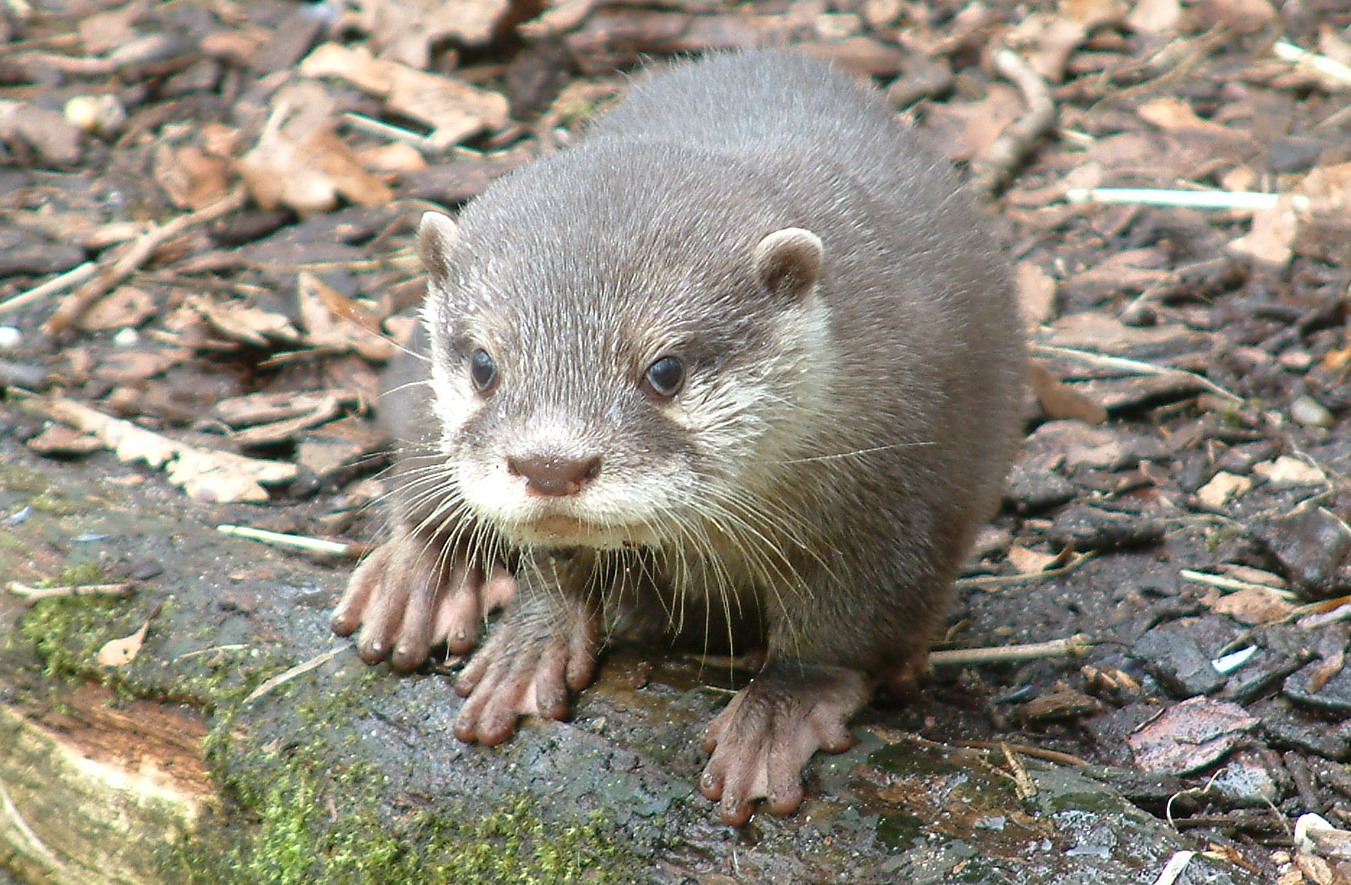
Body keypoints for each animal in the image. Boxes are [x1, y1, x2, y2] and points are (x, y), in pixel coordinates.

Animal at [329, 52, 1021, 832]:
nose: (550, 464)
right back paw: (419, 574)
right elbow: (552, 565)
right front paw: (533, 639)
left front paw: (777, 716)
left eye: (666, 370)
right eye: (483, 364)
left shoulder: (905, 490)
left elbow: (844, 632)